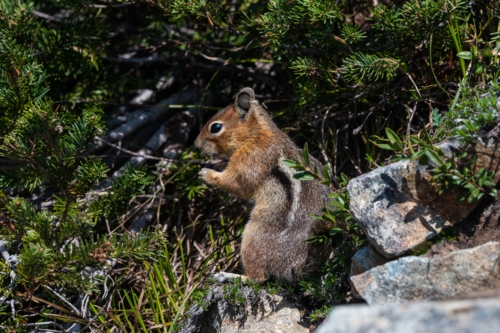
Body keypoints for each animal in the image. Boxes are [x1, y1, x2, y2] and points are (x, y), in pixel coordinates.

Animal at [195, 87, 332, 282]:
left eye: (215, 127)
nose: (196, 144)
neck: (256, 134)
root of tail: (291, 266)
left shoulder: (250, 159)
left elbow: (236, 183)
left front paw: (207, 174)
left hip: (250, 238)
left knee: (258, 279)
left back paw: (228, 276)